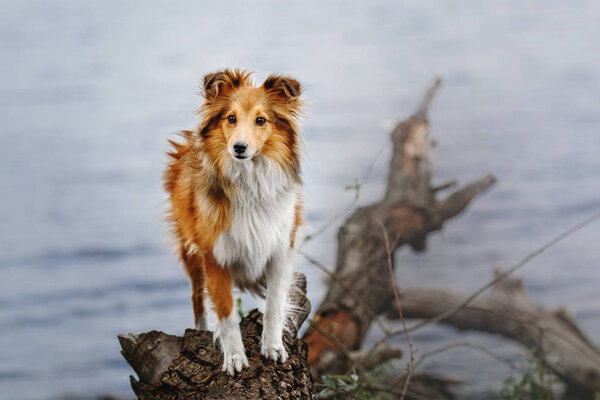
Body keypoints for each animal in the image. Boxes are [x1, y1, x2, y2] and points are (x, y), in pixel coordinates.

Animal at [163, 68, 304, 376]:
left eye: (261, 120)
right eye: (231, 118)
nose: (239, 147)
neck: (249, 182)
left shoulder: (280, 249)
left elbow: (274, 303)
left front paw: (273, 346)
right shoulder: (215, 256)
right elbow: (226, 314)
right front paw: (235, 357)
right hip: (190, 252)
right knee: (197, 298)